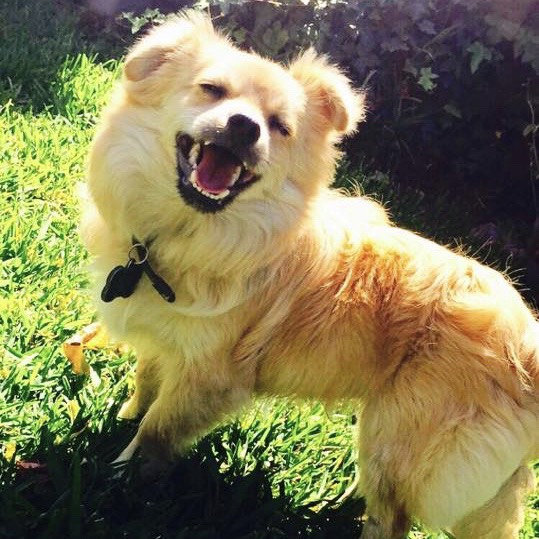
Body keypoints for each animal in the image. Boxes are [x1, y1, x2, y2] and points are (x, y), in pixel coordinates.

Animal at [82, 11, 538, 538]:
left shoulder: (208, 379)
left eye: (280, 127)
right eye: (211, 89)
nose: (244, 126)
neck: (188, 232)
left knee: (392, 518)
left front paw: (120, 475)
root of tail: (529, 349)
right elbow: (146, 385)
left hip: (398, 441)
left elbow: (157, 429)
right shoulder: (167, 343)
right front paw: (122, 417)